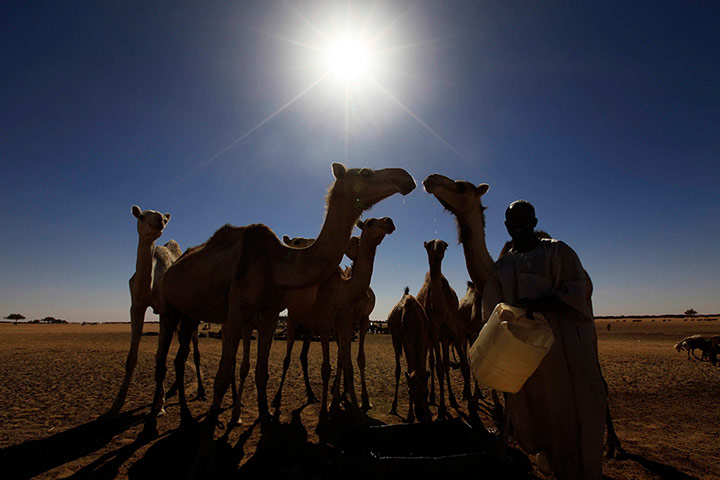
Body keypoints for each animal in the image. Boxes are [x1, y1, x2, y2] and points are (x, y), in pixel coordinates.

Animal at [108, 204, 207, 414]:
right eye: (142, 216)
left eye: (164, 218)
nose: (160, 221)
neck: (150, 284)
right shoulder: (136, 306)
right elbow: (132, 358)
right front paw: (116, 405)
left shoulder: (164, 310)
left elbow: (159, 356)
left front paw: (159, 406)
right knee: (184, 351)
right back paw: (173, 390)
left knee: (194, 352)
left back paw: (201, 392)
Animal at [272, 218, 396, 420]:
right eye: (370, 223)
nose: (389, 222)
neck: (343, 291)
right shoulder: (325, 324)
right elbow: (326, 368)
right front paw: (327, 409)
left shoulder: (346, 323)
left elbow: (347, 362)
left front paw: (354, 405)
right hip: (292, 318)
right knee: (287, 357)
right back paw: (276, 400)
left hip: (309, 326)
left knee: (304, 356)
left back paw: (312, 395)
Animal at [388, 286, 434, 422]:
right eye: (410, 393)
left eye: (426, 392)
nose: (420, 414)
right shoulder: (405, 340)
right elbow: (408, 370)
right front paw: (410, 416)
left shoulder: (425, 339)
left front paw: (429, 411)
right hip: (395, 338)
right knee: (397, 369)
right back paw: (393, 407)